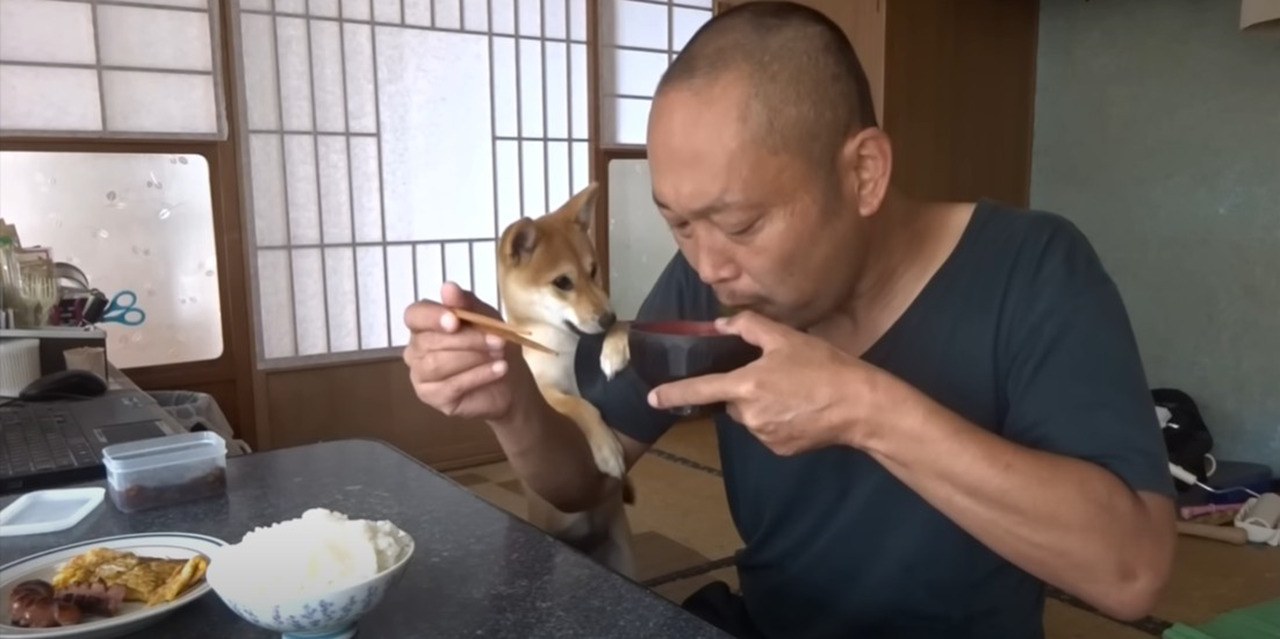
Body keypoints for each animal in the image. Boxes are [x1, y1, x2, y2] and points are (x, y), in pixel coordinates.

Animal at [494, 183, 634, 578]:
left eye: (594, 270)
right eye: (562, 283)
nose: (605, 317)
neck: (566, 345)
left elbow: (624, 329)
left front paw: (615, 347)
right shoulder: (547, 392)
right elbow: (582, 406)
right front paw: (607, 450)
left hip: (623, 552)